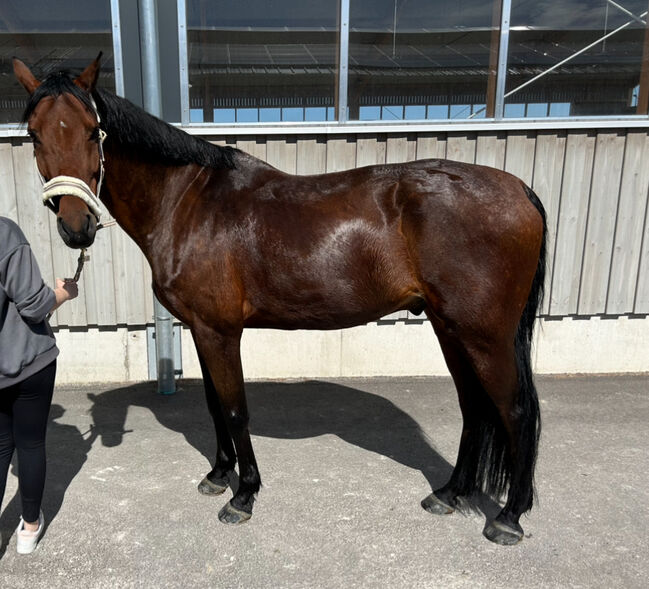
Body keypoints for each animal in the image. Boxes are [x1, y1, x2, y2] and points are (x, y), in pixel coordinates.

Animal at [13, 55, 548, 544]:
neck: (187, 203)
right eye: (34, 136)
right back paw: (449, 493)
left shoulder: (220, 331)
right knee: (475, 407)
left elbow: (234, 409)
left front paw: (243, 494)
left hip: (484, 335)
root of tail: (519, 188)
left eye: (92, 133)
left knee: (516, 412)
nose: (76, 227)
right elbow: (213, 405)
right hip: (449, 328)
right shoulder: (202, 329)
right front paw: (218, 475)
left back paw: (509, 518)